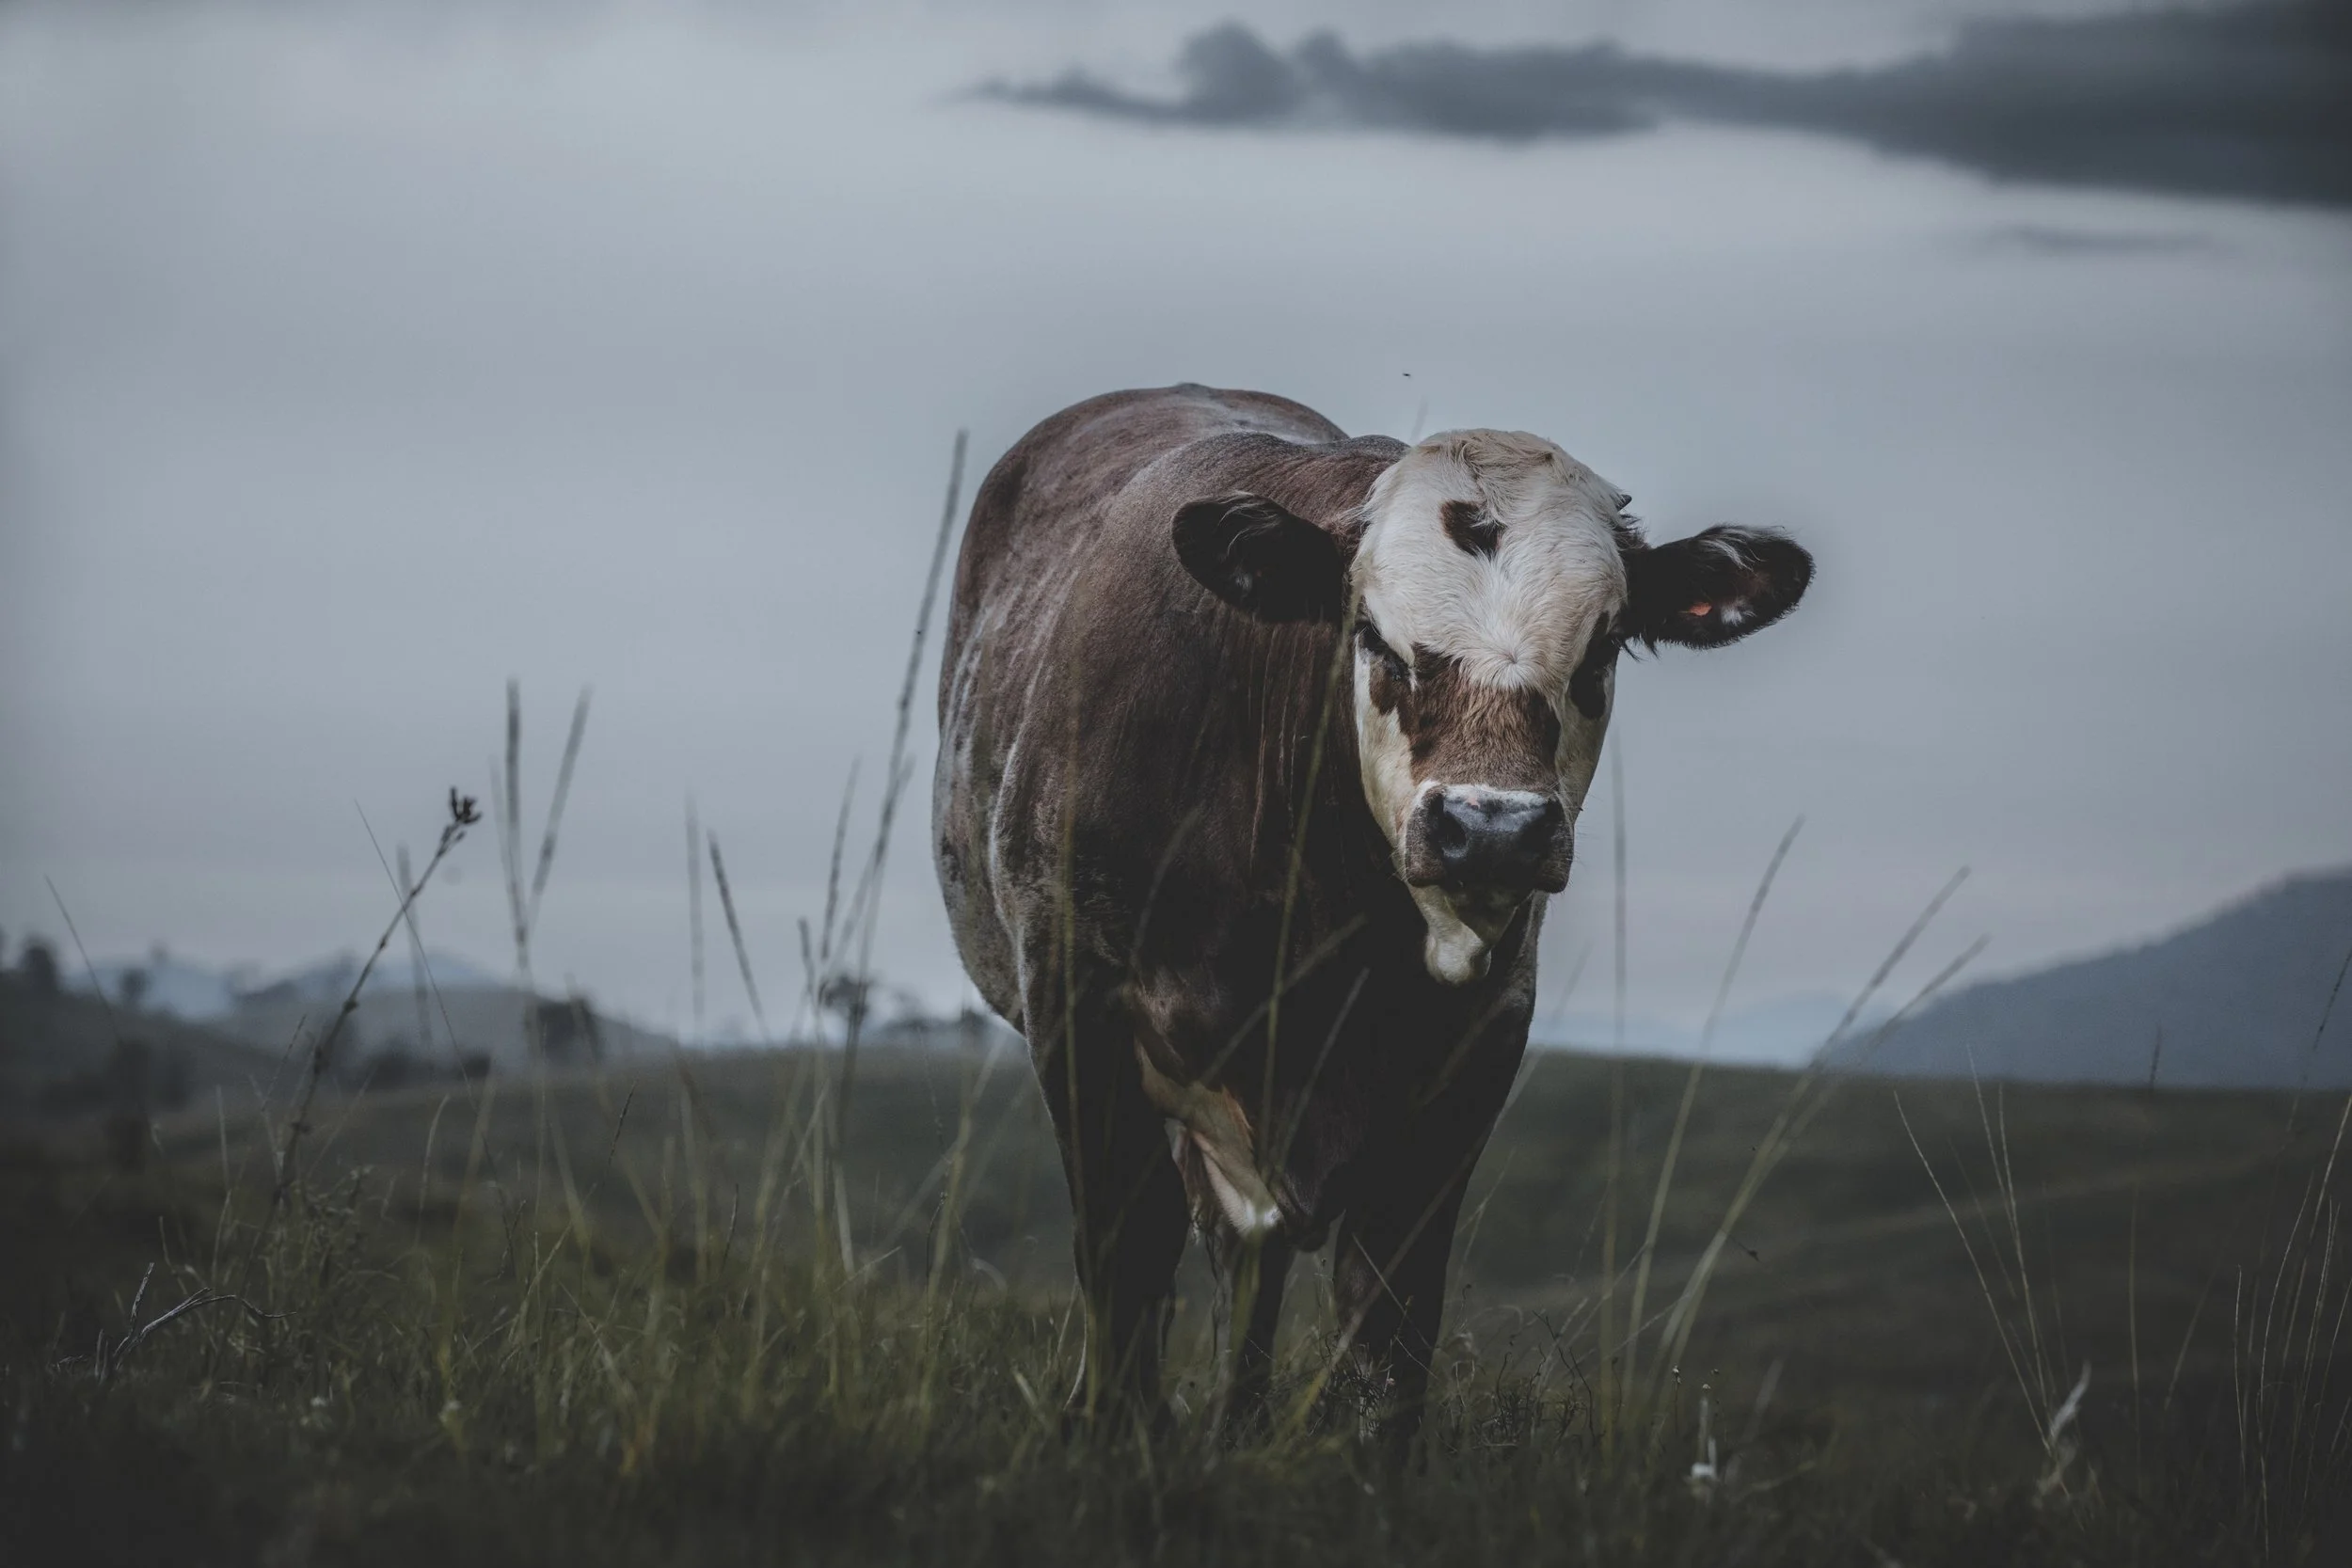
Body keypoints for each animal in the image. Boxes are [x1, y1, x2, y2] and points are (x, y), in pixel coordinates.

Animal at [932, 384, 1811, 1450]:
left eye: (1601, 645)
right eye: (1376, 636)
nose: (1491, 829)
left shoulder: (1472, 1046)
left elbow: (1389, 1314)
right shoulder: (1078, 1003)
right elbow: (1126, 1253)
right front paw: (1112, 1432)